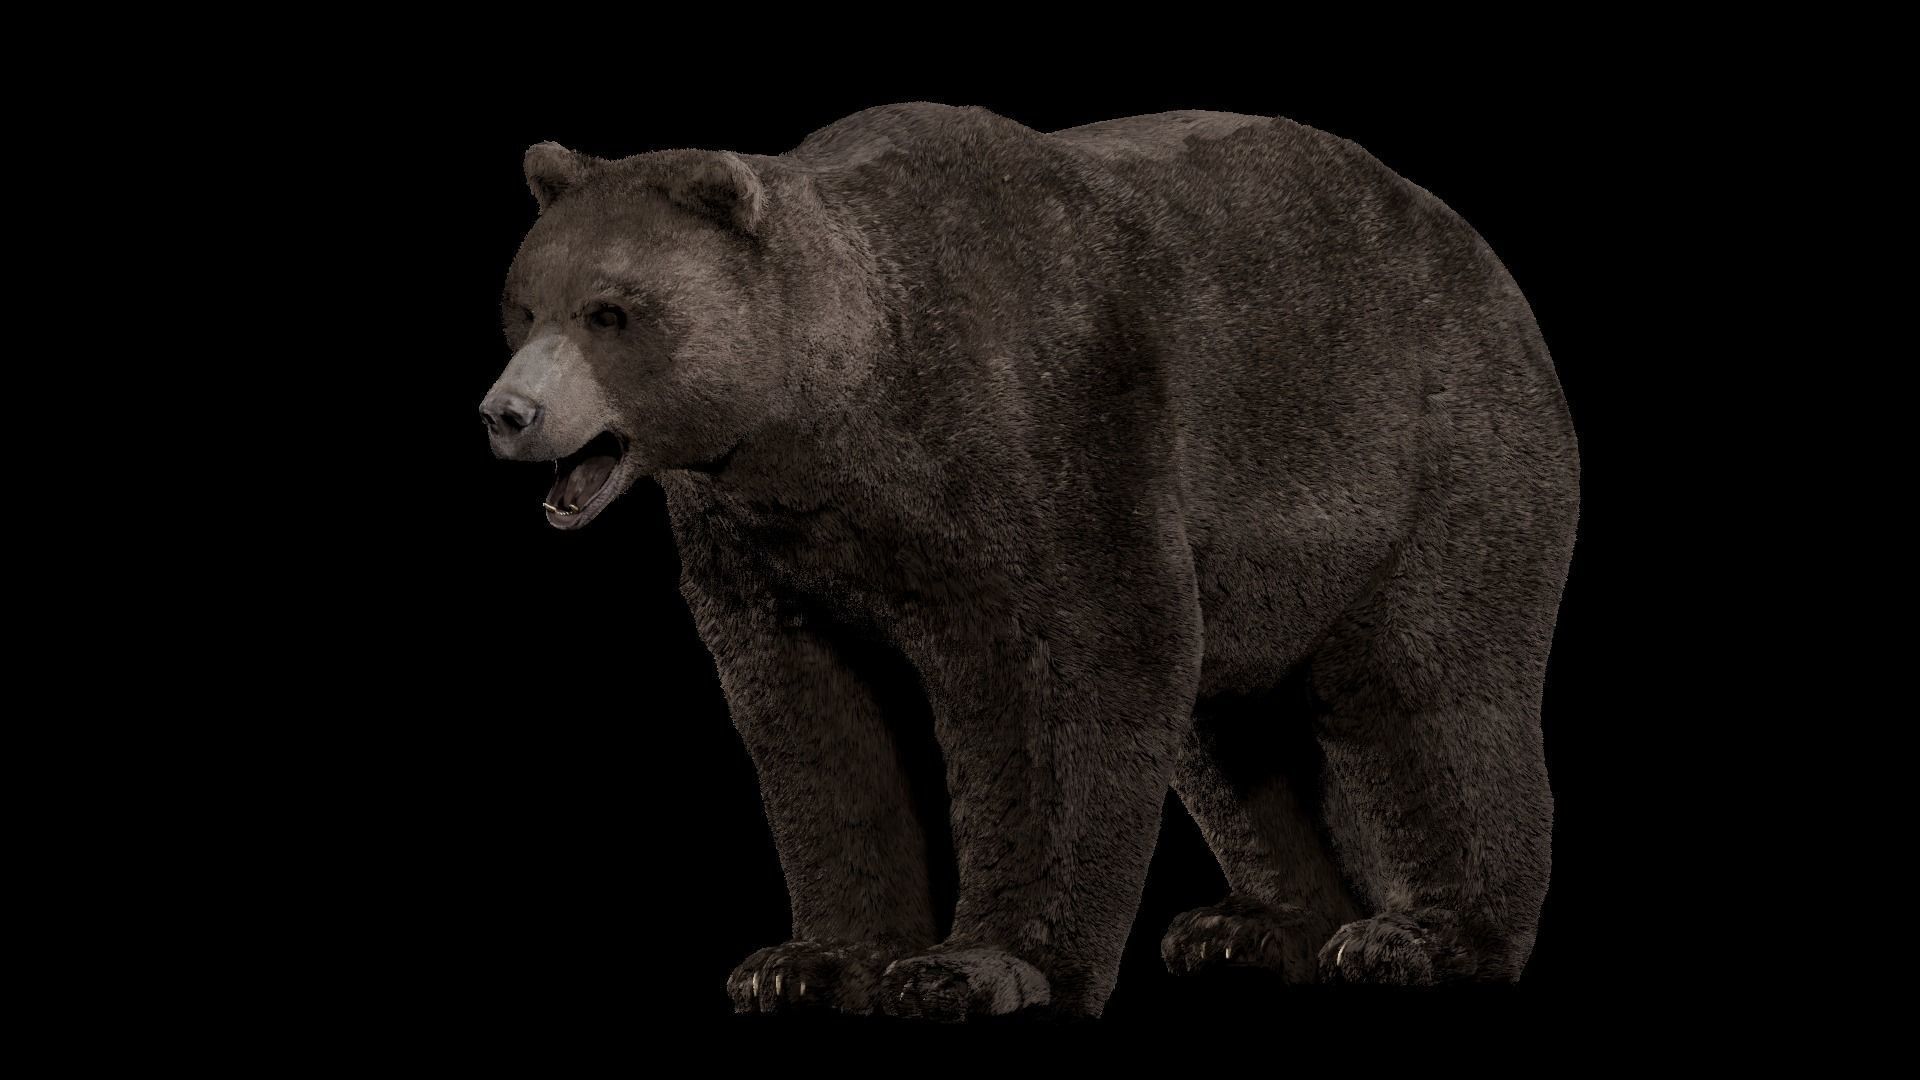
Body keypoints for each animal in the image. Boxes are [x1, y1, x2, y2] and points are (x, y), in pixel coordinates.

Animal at [479, 102, 1579, 1021]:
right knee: (1231, 728)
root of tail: (1484, 260)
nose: (507, 413)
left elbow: (1072, 677)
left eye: (610, 311)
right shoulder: (761, 546)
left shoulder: (1047, 438)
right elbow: (814, 720)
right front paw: (804, 962)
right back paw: (1256, 929)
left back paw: (1423, 935)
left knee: (1427, 686)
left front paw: (980, 966)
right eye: (523, 306)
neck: (838, 415)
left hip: (1429, 461)